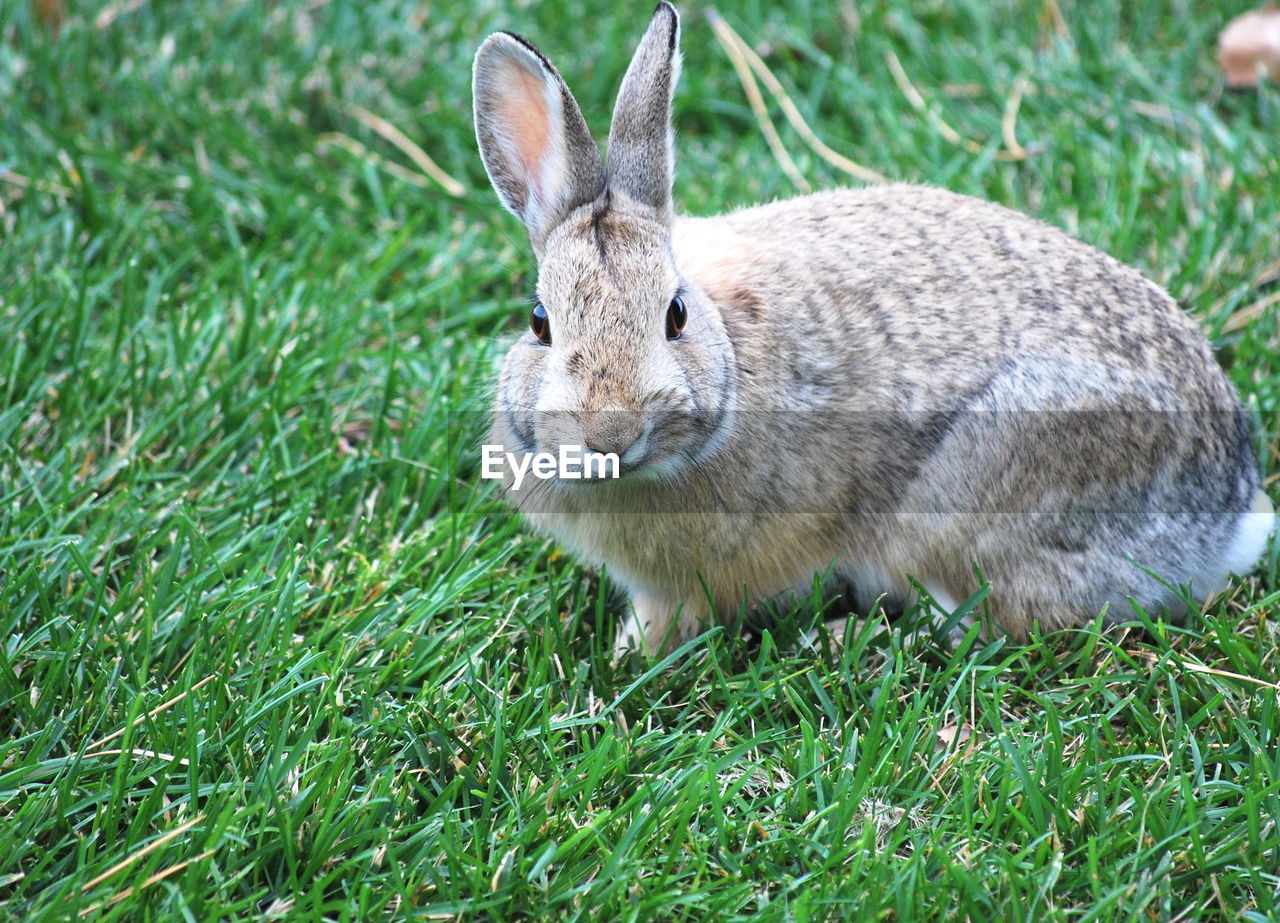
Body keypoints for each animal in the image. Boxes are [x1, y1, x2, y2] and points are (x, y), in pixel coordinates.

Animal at [471, 3, 1269, 660]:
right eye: (540, 323)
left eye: (674, 315)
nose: (611, 430)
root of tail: (1226, 515)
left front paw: (632, 656)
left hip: (974, 500)